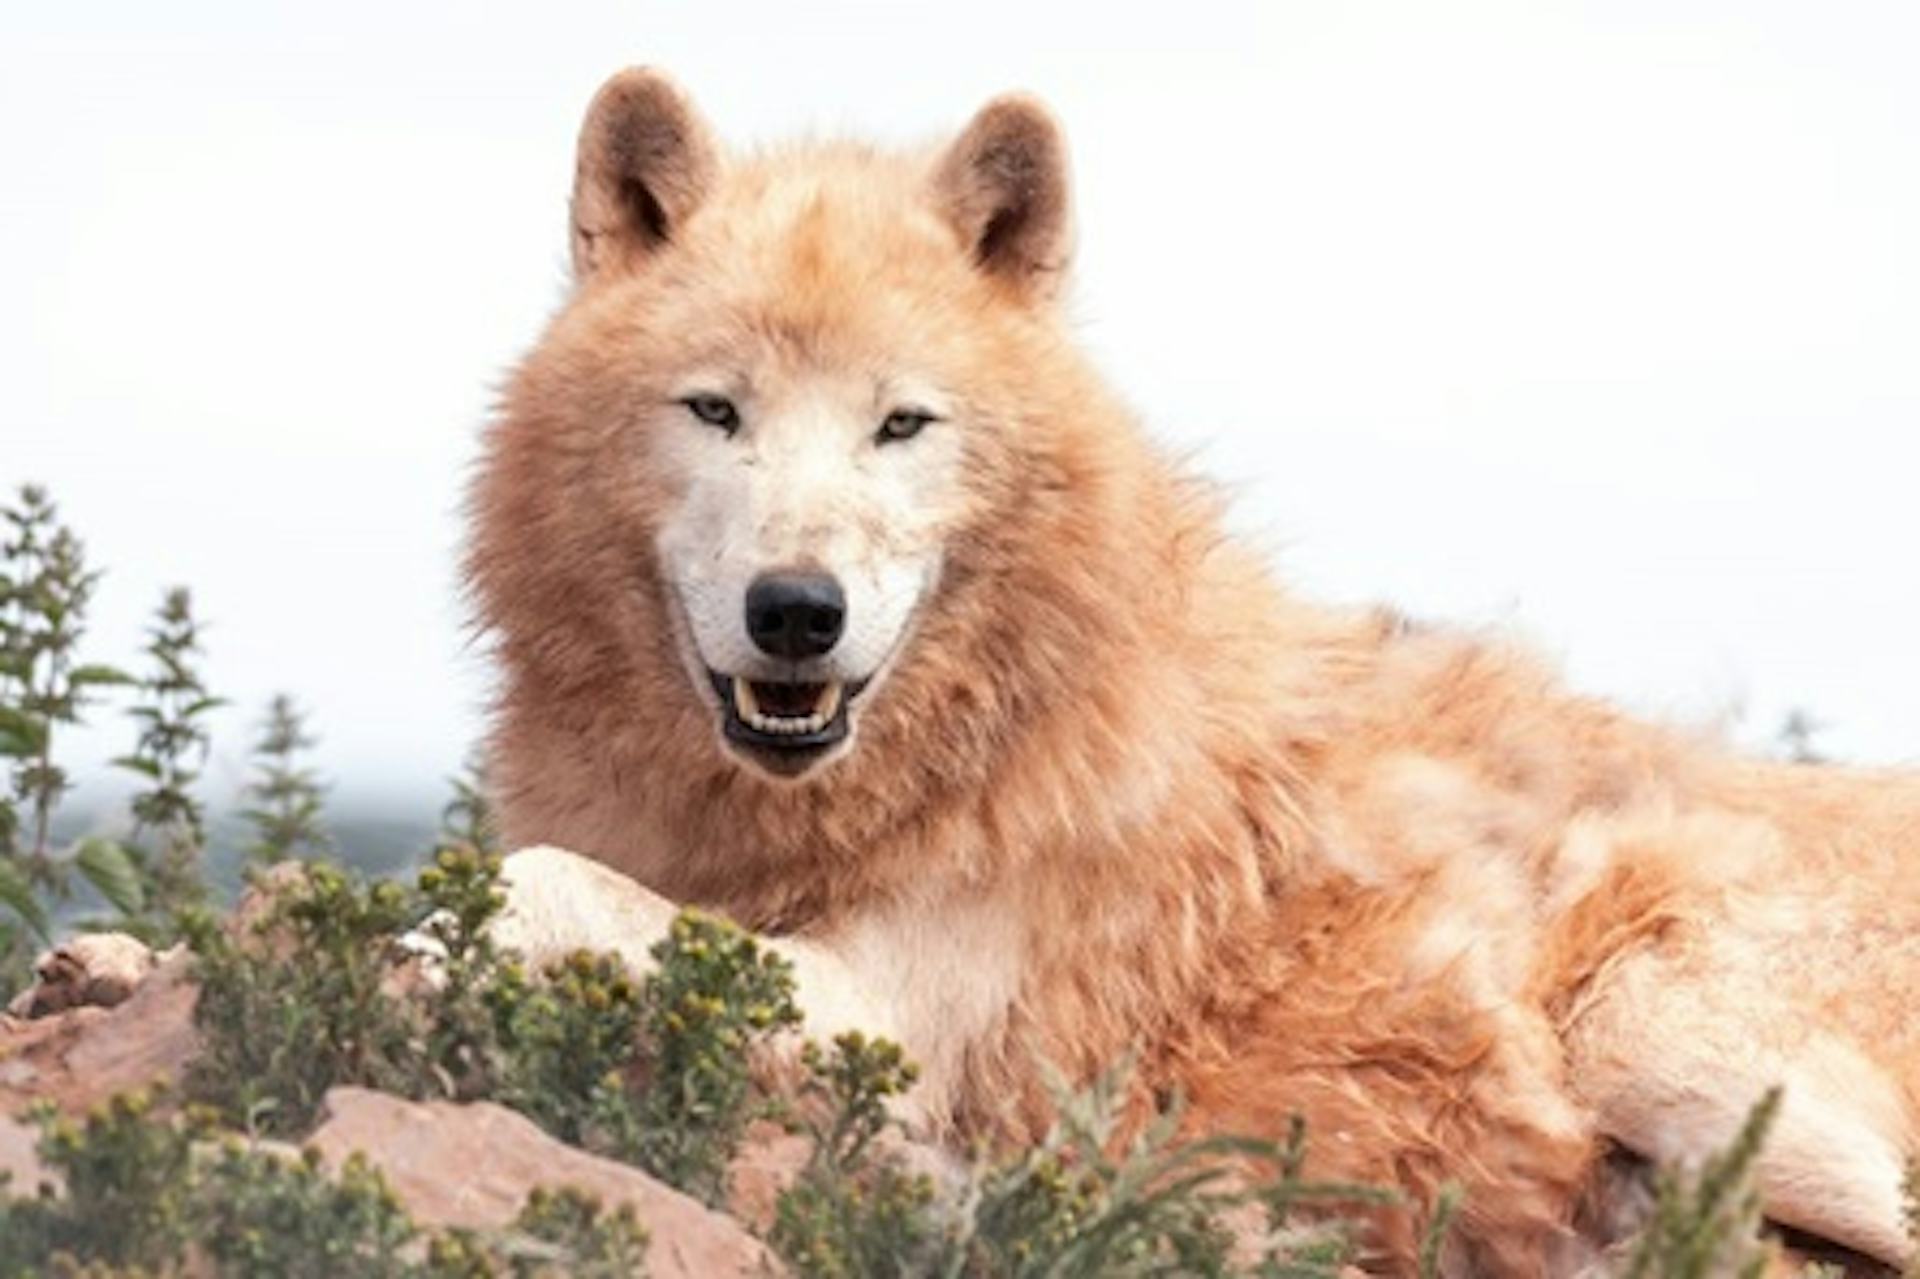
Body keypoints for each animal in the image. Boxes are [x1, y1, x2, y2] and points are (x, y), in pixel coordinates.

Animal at [468, 72, 1920, 1275]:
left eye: (902, 424)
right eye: (716, 409)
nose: (796, 611)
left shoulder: (902, 1025)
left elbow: (552, 881)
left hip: (1655, 1028)